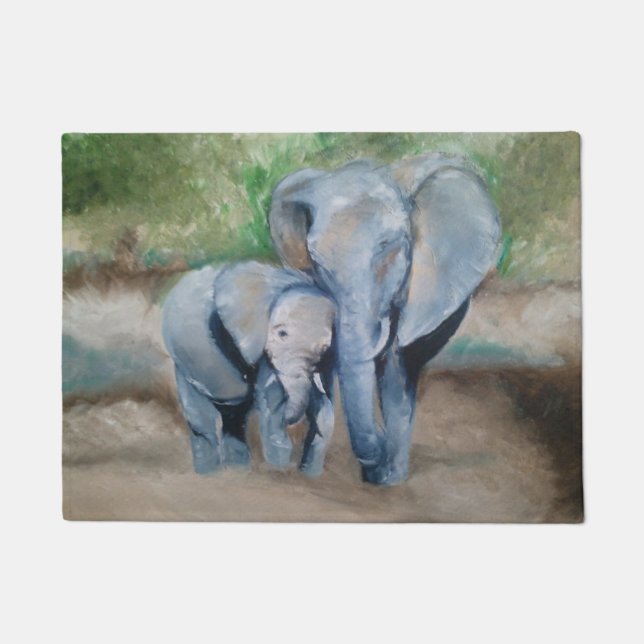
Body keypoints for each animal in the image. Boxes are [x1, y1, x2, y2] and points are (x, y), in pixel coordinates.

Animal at [162, 261, 336, 476]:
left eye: (325, 347)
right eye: (282, 334)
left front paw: (306, 473)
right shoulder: (255, 337)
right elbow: (271, 396)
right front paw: (279, 468)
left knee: (235, 418)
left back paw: (238, 469)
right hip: (183, 364)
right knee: (201, 419)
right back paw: (208, 473)